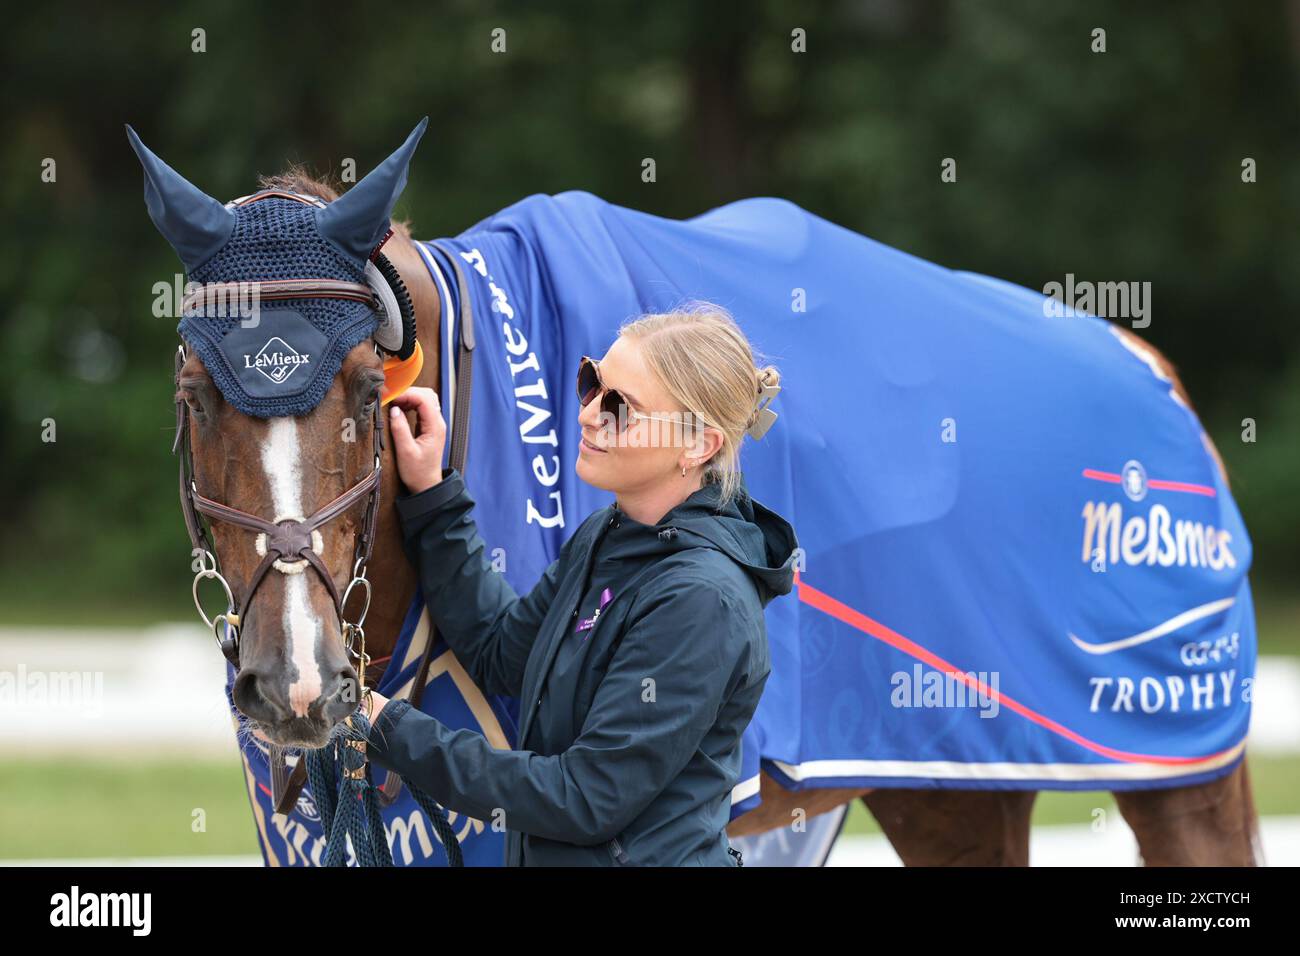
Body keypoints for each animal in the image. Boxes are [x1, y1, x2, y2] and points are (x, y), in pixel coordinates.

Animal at [134, 123, 1258, 863]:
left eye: (368, 391)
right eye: (195, 398)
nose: (295, 681)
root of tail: (1144, 364)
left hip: (1178, 763)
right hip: (946, 784)